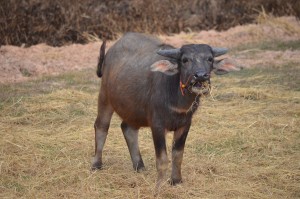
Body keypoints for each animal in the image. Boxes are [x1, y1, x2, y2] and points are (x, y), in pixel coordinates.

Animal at [91, 31, 239, 186]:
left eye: (209, 59)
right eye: (185, 60)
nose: (200, 75)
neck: (177, 100)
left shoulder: (185, 125)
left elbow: (178, 155)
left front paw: (176, 180)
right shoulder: (157, 125)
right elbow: (162, 158)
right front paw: (160, 183)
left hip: (132, 110)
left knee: (128, 128)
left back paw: (139, 166)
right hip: (105, 97)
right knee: (101, 126)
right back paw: (96, 164)